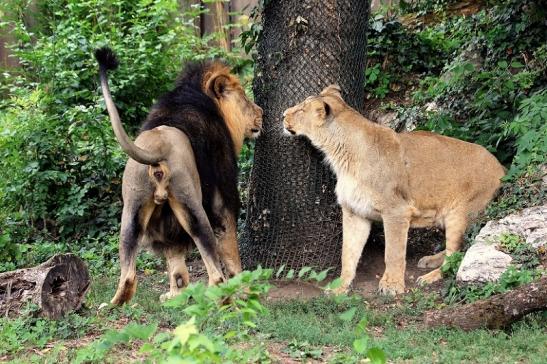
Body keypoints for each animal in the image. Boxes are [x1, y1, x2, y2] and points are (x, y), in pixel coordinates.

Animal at [94, 48, 264, 304]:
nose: (261, 112)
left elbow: (174, 260)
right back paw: (224, 299)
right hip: (193, 204)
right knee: (214, 271)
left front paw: (176, 295)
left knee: (128, 275)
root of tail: (156, 148)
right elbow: (230, 245)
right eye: (244, 97)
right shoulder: (223, 193)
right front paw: (243, 288)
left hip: (131, 211)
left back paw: (113, 304)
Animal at [282, 85, 506, 296]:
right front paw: (340, 287)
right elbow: (348, 253)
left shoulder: (396, 211)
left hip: (460, 213)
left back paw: (430, 275)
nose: (283, 114)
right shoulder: (355, 212)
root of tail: (501, 167)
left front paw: (392, 286)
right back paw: (431, 260)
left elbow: (393, 252)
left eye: (301, 109)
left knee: (456, 254)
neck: (342, 156)